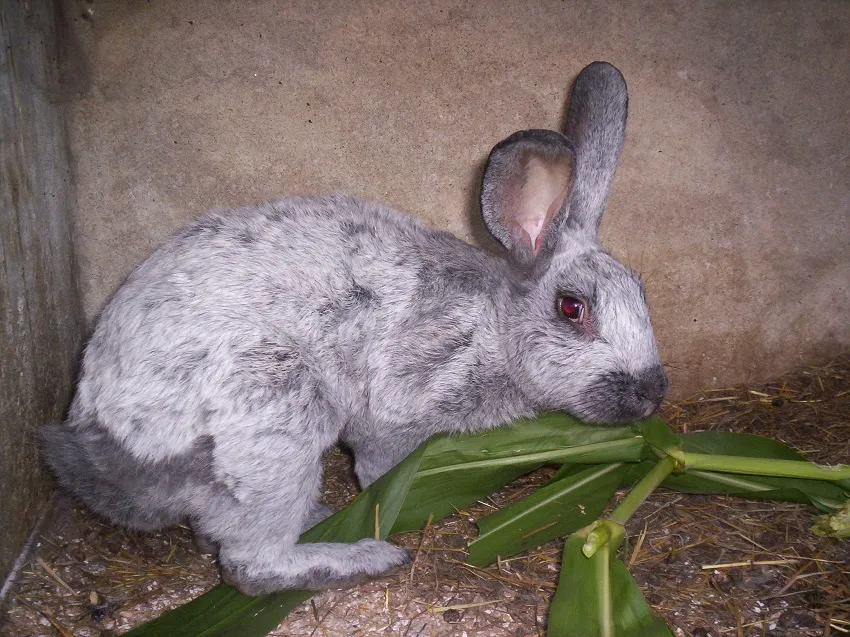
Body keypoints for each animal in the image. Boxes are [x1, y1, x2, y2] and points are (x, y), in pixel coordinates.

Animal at [41, 61, 667, 596]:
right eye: (571, 308)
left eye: (642, 291)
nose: (652, 391)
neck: (494, 326)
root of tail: (105, 443)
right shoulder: (399, 405)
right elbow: (375, 467)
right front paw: (398, 499)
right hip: (275, 421)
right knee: (250, 565)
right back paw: (364, 555)